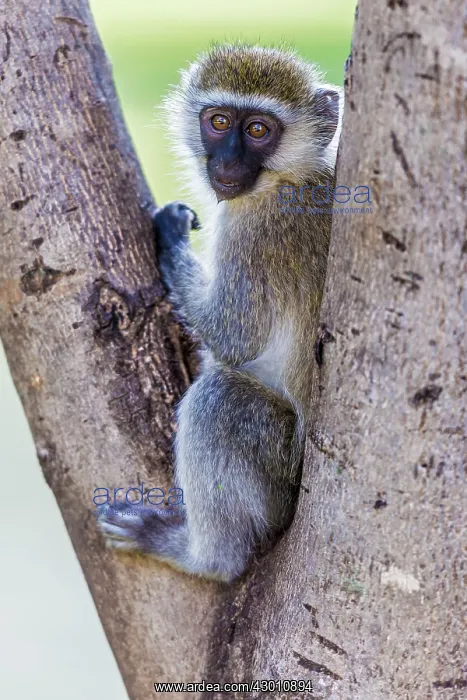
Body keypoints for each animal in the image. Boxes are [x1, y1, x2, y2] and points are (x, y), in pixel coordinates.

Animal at [98, 44, 342, 583]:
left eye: (258, 130)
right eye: (219, 121)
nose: (227, 161)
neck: (288, 177)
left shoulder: (255, 232)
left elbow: (235, 339)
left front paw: (169, 237)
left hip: (276, 473)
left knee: (220, 399)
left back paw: (205, 558)